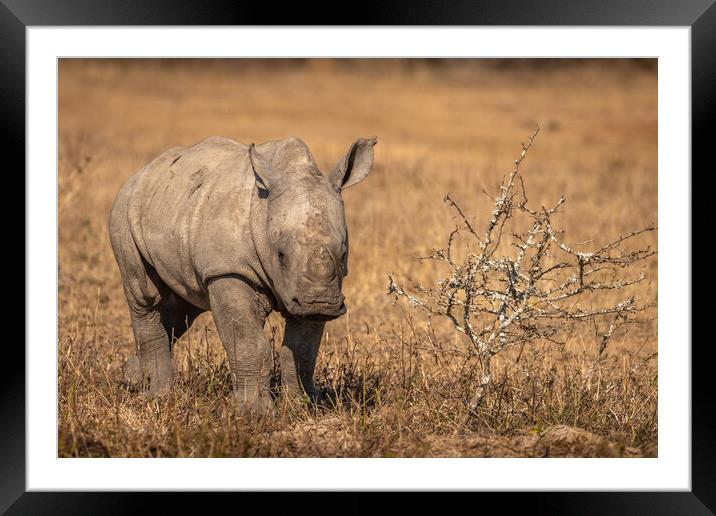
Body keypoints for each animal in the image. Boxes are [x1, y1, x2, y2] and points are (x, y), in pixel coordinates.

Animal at [109, 135, 378, 414]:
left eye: (344, 254)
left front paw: (304, 406)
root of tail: (140, 173)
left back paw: (134, 379)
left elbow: (302, 350)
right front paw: (253, 412)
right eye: (280, 255)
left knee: (181, 309)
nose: (321, 303)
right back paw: (158, 396)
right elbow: (248, 342)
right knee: (146, 297)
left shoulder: (304, 291)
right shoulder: (228, 270)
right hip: (123, 211)